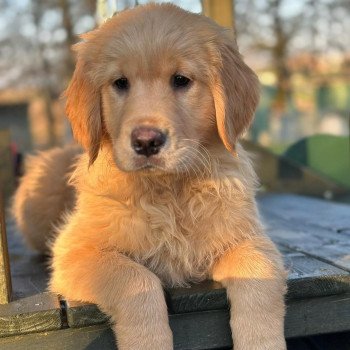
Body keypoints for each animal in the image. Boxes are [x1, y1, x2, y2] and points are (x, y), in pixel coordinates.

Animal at [13, 3, 288, 350]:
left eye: (181, 80)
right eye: (120, 83)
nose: (146, 141)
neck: (169, 191)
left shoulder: (248, 237)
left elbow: (257, 276)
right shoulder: (75, 250)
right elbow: (137, 280)